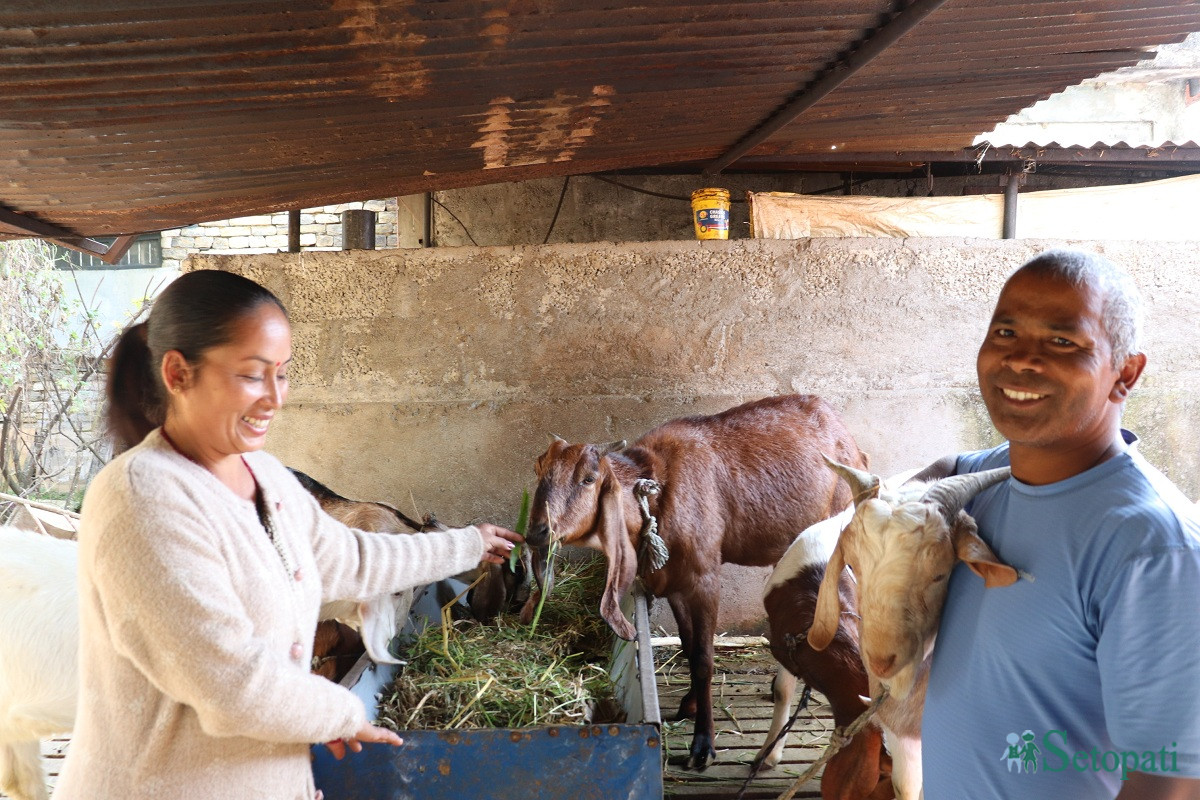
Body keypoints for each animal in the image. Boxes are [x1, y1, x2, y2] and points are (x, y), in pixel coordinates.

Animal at [525, 393, 864, 767]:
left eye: (588, 478)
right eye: (539, 469)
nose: (538, 532)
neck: (656, 494)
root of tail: (845, 432)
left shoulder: (704, 579)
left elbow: (703, 658)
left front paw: (703, 744)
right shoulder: (674, 582)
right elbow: (688, 646)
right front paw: (689, 703)